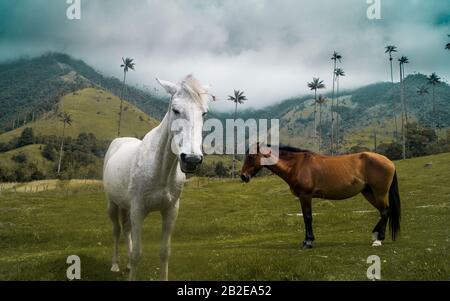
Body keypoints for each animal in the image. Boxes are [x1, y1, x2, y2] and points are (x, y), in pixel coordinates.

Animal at [103, 74, 211, 278]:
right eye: (176, 110)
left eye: (204, 114)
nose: (191, 160)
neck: (160, 170)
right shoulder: (138, 210)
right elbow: (137, 254)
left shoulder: (170, 211)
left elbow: (164, 252)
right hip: (113, 204)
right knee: (116, 230)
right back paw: (114, 264)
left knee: (126, 229)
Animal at [241, 144, 402, 247]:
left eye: (251, 156)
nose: (243, 176)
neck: (296, 165)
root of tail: (389, 161)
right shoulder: (303, 197)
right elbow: (305, 217)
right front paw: (306, 240)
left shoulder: (305, 196)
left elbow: (307, 218)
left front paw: (308, 242)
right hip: (368, 193)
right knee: (383, 212)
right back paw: (375, 235)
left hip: (379, 193)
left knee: (385, 212)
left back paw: (379, 240)